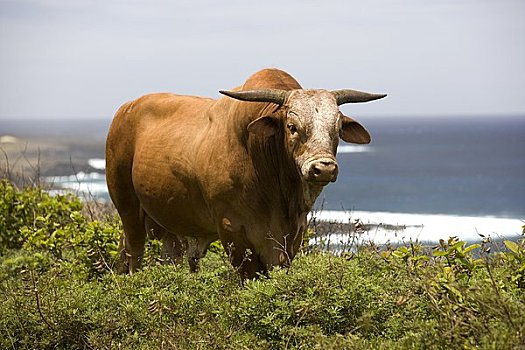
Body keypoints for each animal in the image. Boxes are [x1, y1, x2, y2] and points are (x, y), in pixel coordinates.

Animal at [106, 68, 384, 278]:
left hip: (168, 221)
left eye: (336, 129)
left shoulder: (292, 235)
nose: (323, 168)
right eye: (292, 126)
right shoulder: (234, 232)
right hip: (127, 207)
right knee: (134, 252)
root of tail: (126, 108)